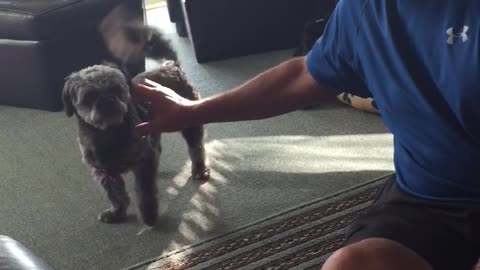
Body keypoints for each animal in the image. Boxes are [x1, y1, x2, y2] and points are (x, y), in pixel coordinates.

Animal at [61, 6, 208, 226]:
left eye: (117, 88)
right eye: (89, 97)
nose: (108, 100)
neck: (110, 135)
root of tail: (171, 66)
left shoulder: (143, 162)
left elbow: (144, 192)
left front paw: (149, 215)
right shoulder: (105, 172)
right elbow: (116, 195)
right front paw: (117, 213)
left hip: (188, 121)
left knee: (196, 148)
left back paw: (199, 170)